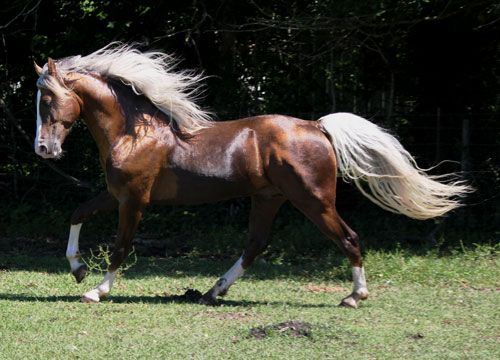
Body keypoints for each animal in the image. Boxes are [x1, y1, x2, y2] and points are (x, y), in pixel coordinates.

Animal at [33, 42, 470, 306]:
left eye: (49, 98)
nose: (43, 149)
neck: (133, 132)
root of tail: (317, 126)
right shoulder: (115, 193)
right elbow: (77, 214)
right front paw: (77, 270)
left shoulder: (135, 200)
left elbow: (120, 246)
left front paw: (96, 290)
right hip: (268, 198)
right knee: (255, 245)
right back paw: (212, 292)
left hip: (312, 199)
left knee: (348, 237)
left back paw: (353, 296)